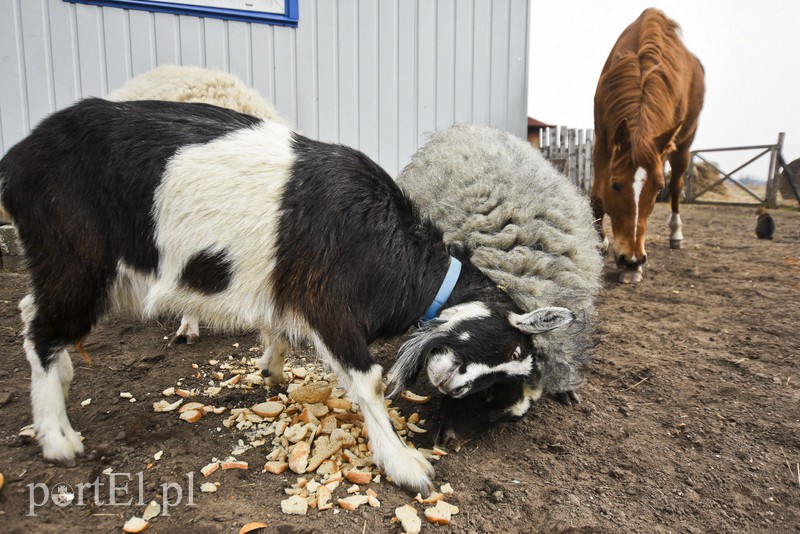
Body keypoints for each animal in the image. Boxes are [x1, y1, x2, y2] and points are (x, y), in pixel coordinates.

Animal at [0, 99, 576, 494]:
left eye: (499, 398)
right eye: (505, 346)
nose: (451, 381)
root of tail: (16, 160)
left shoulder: (291, 290)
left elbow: (277, 328)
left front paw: (271, 371)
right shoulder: (330, 303)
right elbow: (367, 381)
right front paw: (405, 464)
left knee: (32, 313)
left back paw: (62, 383)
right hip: (76, 259)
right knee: (42, 328)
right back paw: (56, 438)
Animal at [592, 8, 704, 284]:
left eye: (657, 189)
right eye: (615, 185)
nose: (632, 260)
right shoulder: (603, 138)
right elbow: (597, 196)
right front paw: (601, 243)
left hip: (683, 145)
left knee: (677, 186)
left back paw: (675, 234)